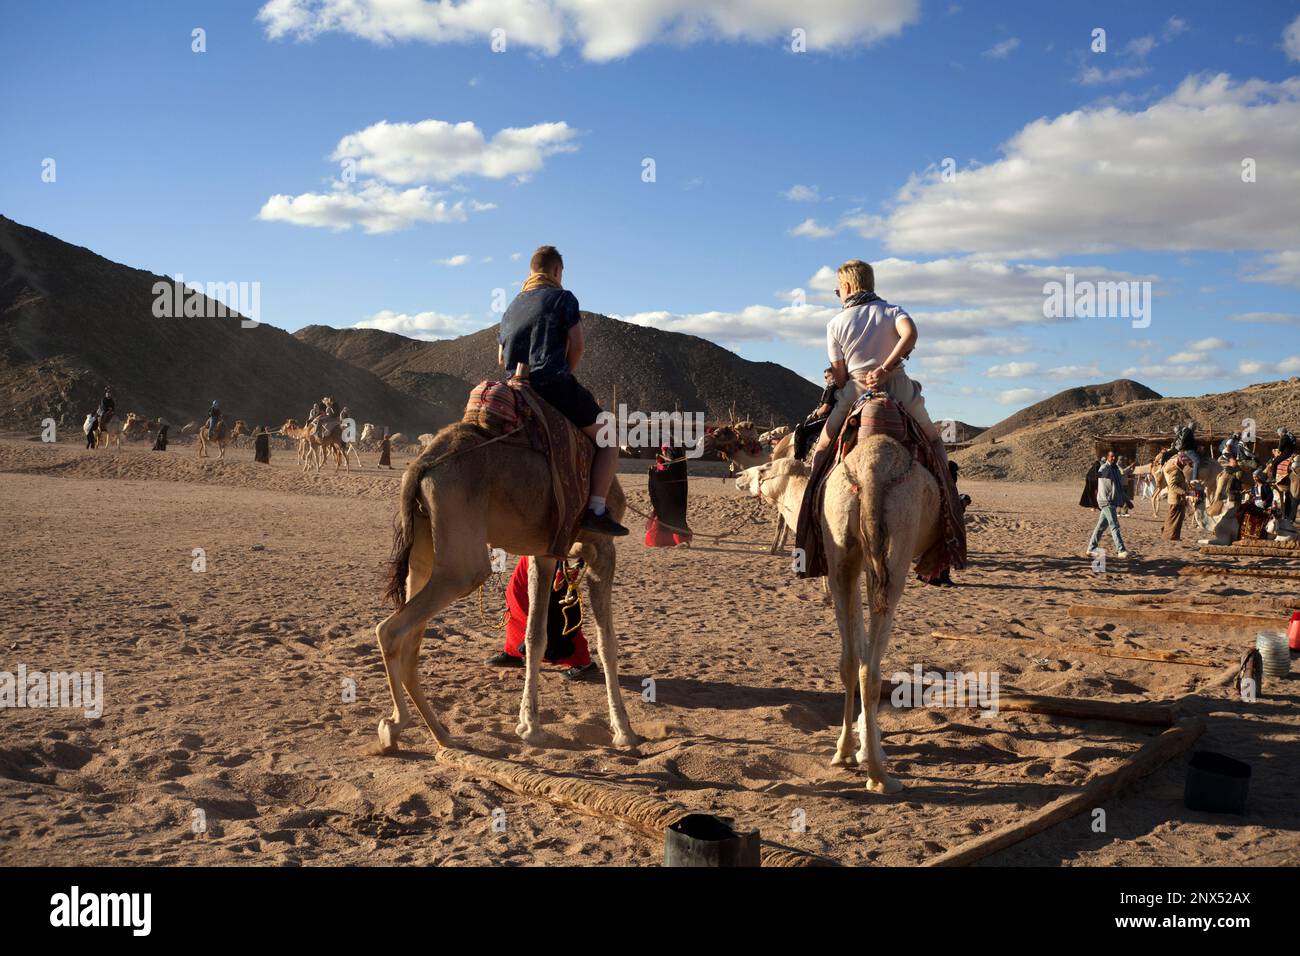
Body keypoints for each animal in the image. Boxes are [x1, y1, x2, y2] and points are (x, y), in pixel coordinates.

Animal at [374, 426, 637, 754]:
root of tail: (419, 468)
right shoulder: (603, 548)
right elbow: (607, 642)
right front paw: (624, 730)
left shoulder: (545, 553)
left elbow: (536, 636)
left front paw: (530, 726)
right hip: (461, 564)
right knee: (390, 630)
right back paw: (396, 727)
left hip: (423, 548)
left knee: (410, 642)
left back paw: (440, 735)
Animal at [826, 434, 941, 790]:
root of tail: (871, 473)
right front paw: (870, 745)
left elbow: (856, 648)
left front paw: (859, 745)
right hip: (896, 551)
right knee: (870, 670)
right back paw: (879, 776)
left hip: (839, 548)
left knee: (850, 661)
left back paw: (843, 752)